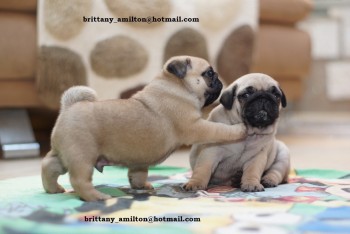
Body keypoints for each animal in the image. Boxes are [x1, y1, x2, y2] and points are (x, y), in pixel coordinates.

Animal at [41, 55, 246, 201]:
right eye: (208, 73)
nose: (219, 78)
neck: (175, 87)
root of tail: (68, 107)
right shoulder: (196, 126)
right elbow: (218, 129)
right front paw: (239, 130)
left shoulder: (139, 161)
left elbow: (137, 174)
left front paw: (140, 186)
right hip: (83, 156)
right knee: (79, 180)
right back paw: (97, 197)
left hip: (64, 153)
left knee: (48, 165)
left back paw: (52, 189)